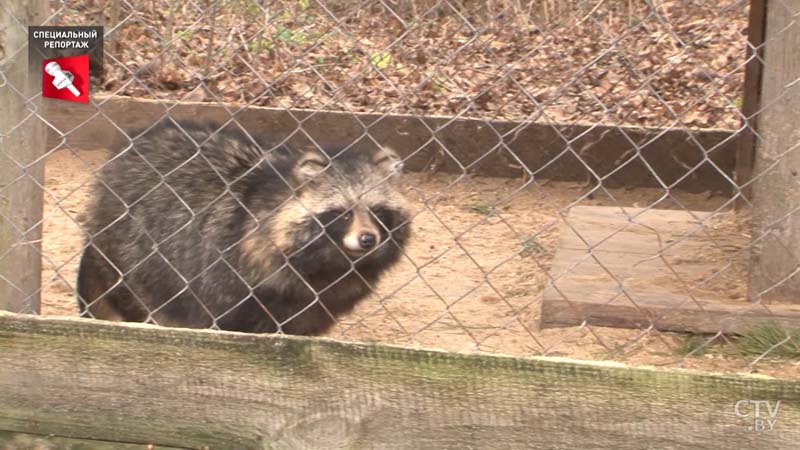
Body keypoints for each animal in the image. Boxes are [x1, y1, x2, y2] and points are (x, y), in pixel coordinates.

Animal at [77, 119, 410, 334]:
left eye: (377, 212)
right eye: (343, 214)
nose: (368, 239)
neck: (330, 264)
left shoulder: (310, 309)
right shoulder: (227, 276)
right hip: (133, 251)